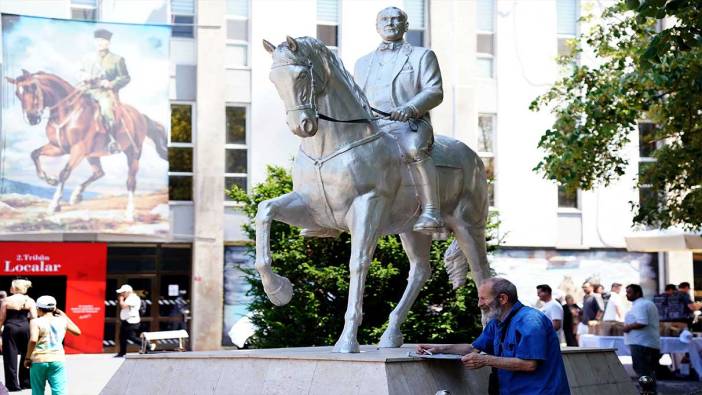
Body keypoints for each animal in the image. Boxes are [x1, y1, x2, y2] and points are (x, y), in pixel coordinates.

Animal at [6, 70, 168, 220]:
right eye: (17, 93)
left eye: (33, 88)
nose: (31, 118)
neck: (69, 112)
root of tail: (140, 115)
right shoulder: (58, 147)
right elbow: (34, 153)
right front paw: (49, 179)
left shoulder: (78, 150)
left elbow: (64, 173)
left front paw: (54, 205)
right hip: (92, 155)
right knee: (99, 172)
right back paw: (77, 195)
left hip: (132, 153)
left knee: (130, 182)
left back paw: (129, 213)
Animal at [260, 36, 496, 352]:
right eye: (274, 79)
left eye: (300, 75)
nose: (302, 126)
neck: (331, 147)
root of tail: (475, 158)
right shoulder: (310, 208)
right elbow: (265, 211)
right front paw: (278, 290)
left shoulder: (367, 206)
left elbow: (358, 263)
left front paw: (347, 341)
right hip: (412, 230)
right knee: (420, 271)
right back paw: (391, 334)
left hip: (468, 226)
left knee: (481, 271)